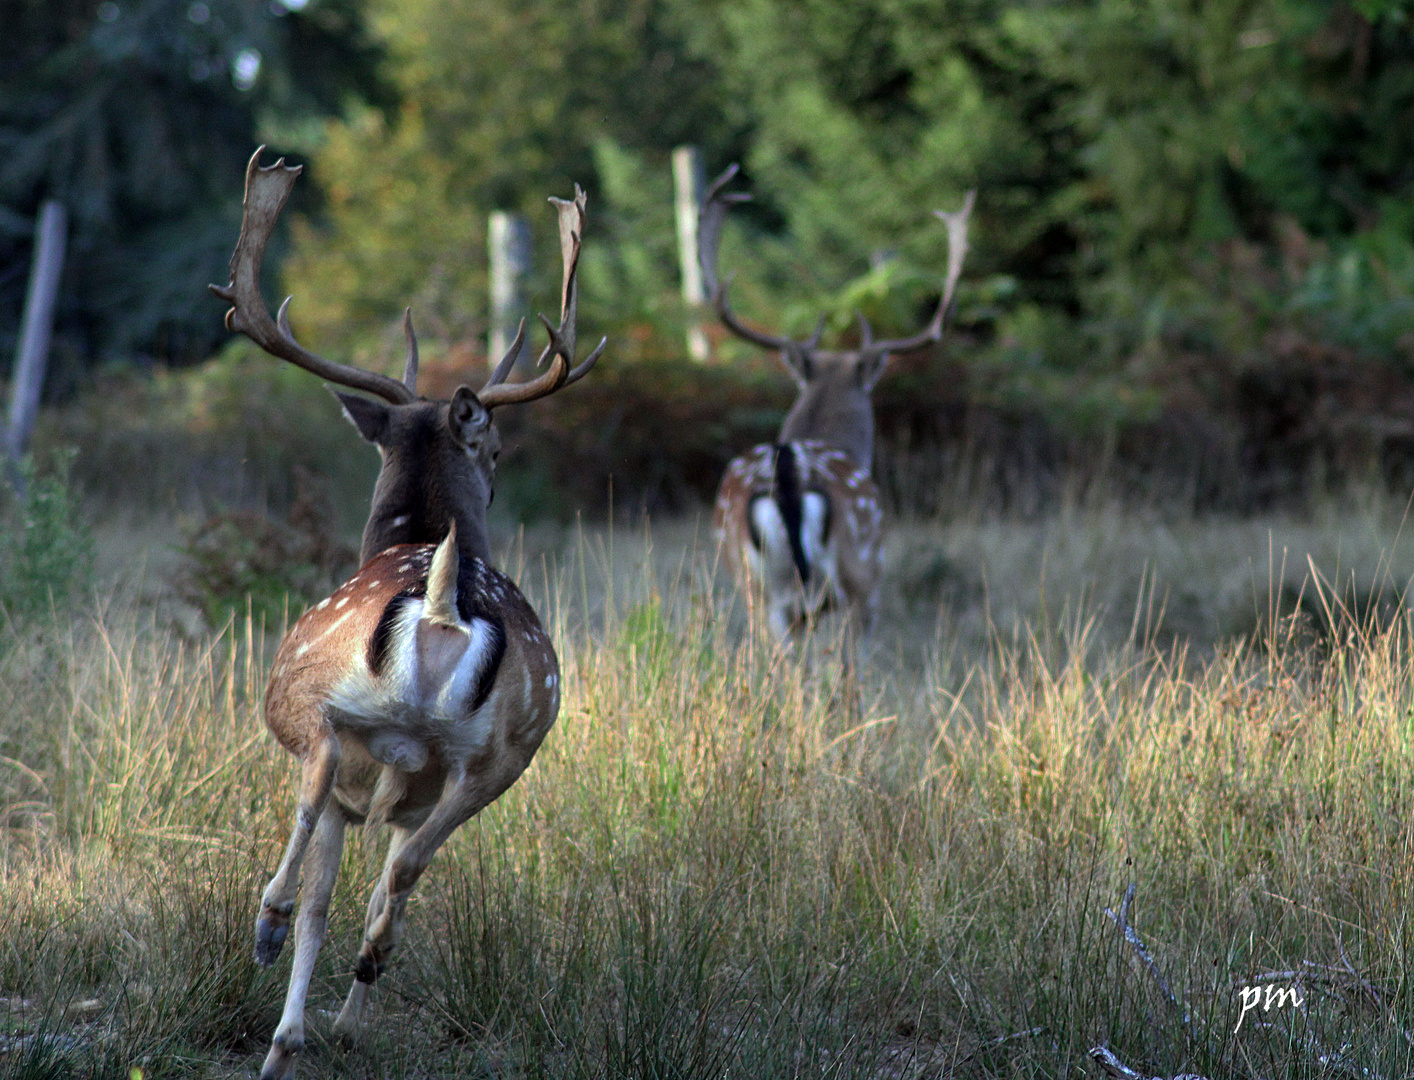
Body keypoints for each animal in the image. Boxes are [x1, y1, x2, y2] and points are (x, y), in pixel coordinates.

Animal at [209, 145, 602, 1080]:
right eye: (496, 449)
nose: (493, 472)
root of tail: (443, 591)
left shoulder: (356, 787)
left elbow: (324, 896)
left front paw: (287, 1035)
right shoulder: (413, 792)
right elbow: (379, 880)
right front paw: (333, 1024)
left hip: (323, 705)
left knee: (316, 779)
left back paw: (268, 923)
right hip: (498, 752)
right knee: (408, 871)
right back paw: (362, 969)